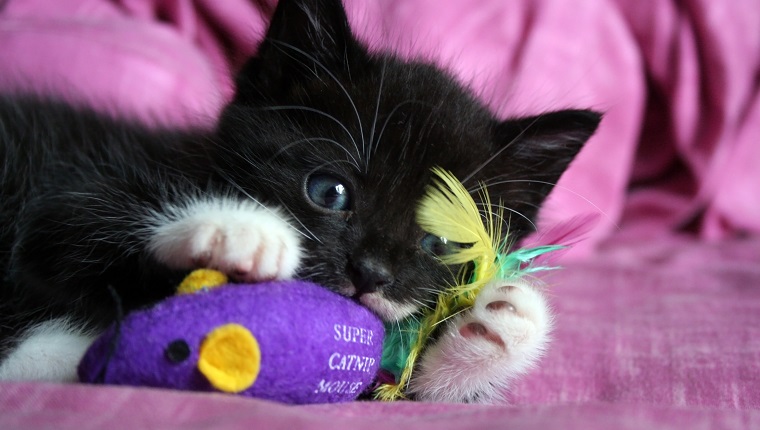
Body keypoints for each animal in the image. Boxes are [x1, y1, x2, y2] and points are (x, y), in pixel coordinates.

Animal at [0, 0, 600, 404]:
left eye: (441, 242)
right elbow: (83, 218)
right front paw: (237, 232)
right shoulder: (69, 192)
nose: (370, 272)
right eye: (329, 192)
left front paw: (498, 328)